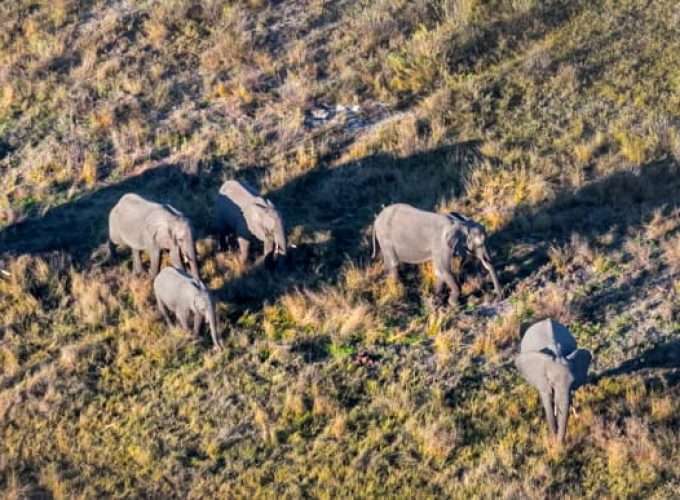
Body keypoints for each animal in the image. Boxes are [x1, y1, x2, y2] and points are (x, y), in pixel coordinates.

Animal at [370, 203, 502, 304]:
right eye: (479, 245)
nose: (497, 297)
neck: (460, 224)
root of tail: (376, 219)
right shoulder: (441, 245)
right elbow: (444, 270)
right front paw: (453, 304)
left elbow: (439, 272)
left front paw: (437, 300)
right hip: (385, 238)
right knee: (394, 263)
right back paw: (399, 289)